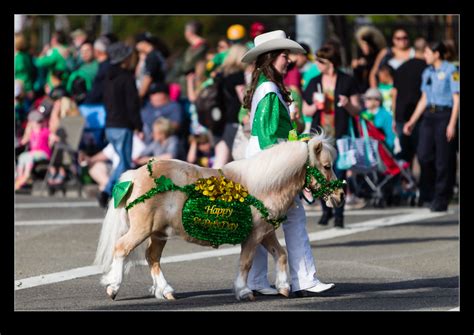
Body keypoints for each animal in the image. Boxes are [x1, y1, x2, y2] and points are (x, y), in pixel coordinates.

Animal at [93, 131, 344, 302]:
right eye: (327, 165)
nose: (341, 195)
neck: (262, 187)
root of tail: (135, 175)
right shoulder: (253, 236)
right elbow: (246, 262)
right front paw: (243, 291)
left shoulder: (265, 232)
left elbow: (280, 254)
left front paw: (283, 286)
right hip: (142, 229)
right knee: (121, 248)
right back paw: (113, 286)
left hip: (158, 233)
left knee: (152, 257)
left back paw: (165, 291)